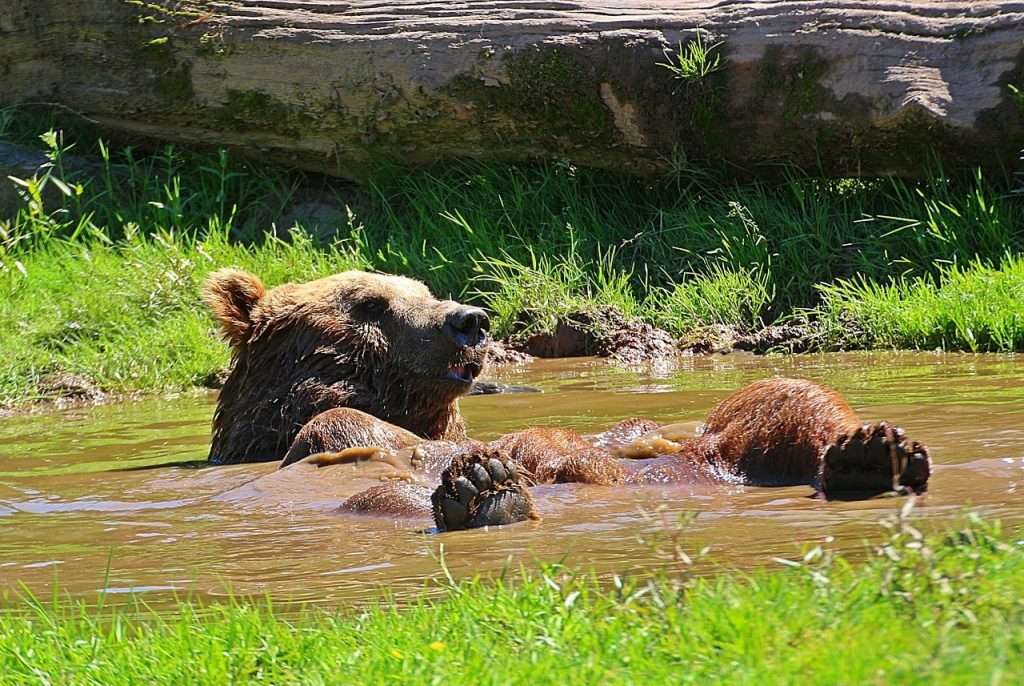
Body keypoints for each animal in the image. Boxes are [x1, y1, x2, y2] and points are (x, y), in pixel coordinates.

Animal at [204, 269, 931, 531]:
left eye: (422, 287)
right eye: (370, 303)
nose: (469, 319)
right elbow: (343, 434)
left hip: (722, 442)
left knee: (787, 398)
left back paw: (871, 452)